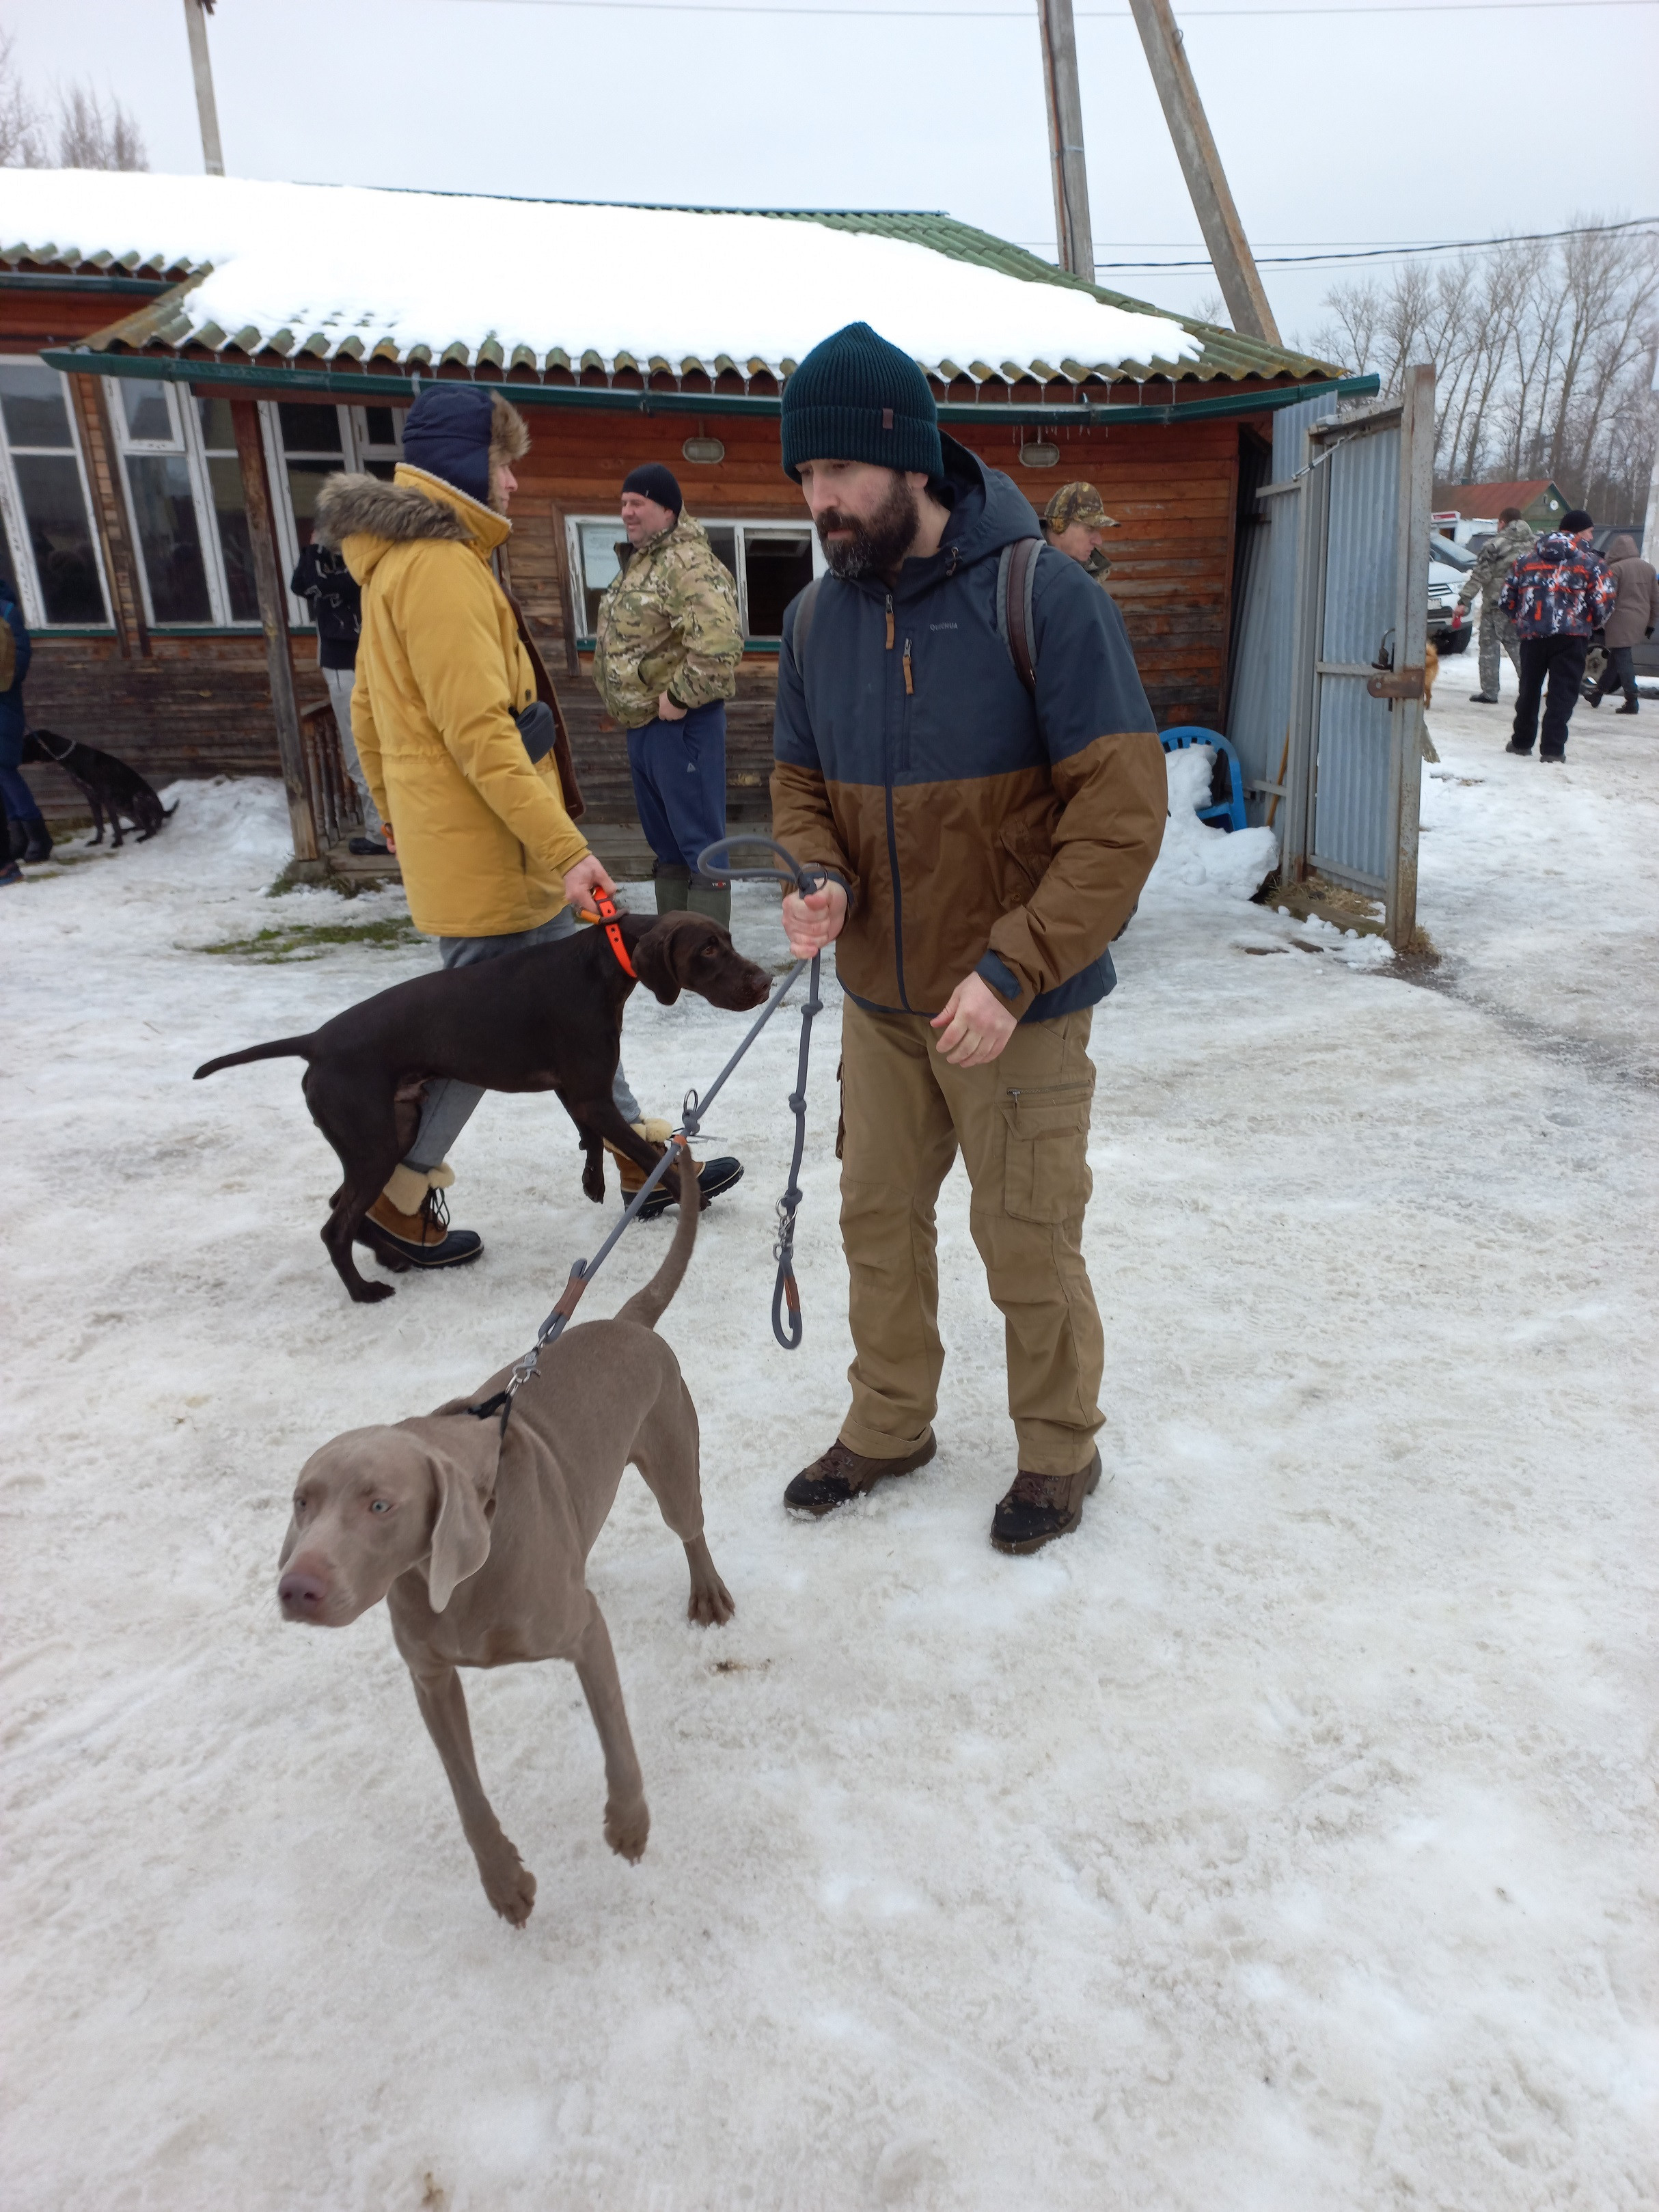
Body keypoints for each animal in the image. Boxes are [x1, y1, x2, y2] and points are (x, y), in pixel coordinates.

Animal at [23, 734, 176, 854]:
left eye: (26, 744)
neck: (74, 757)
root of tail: (163, 811)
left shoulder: (107, 797)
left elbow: (114, 823)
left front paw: (118, 843)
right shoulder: (92, 798)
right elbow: (99, 823)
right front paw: (98, 841)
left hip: (138, 798)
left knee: (152, 829)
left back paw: (142, 836)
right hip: (123, 807)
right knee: (142, 825)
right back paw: (128, 830)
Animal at [193, 911, 774, 1292]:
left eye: (727, 939)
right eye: (707, 948)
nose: (766, 980)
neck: (601, 961)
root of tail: (315, 1040)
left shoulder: (579, 1091)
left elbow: (591, 1137)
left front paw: (595, 1182)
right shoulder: (591, 1092)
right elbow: (650, 1152)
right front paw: (686, 1191)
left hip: (391, 1129)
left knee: (345, 1206)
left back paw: (393, 1257)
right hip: (372, 1140)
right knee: (335, 1224)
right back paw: (364, 1291)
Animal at [279, 1168, 734, 1928]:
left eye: (380, 1504)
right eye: (302, 1502)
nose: (296, 1589)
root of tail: (628, 1320)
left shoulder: (583, 1632)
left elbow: (617, 1740)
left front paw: (628, 1823)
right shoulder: (431, 1676)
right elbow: (465, 1789)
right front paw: (504, 1880)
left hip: (672, 1455)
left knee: (690, 1525)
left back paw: (707, 1591)